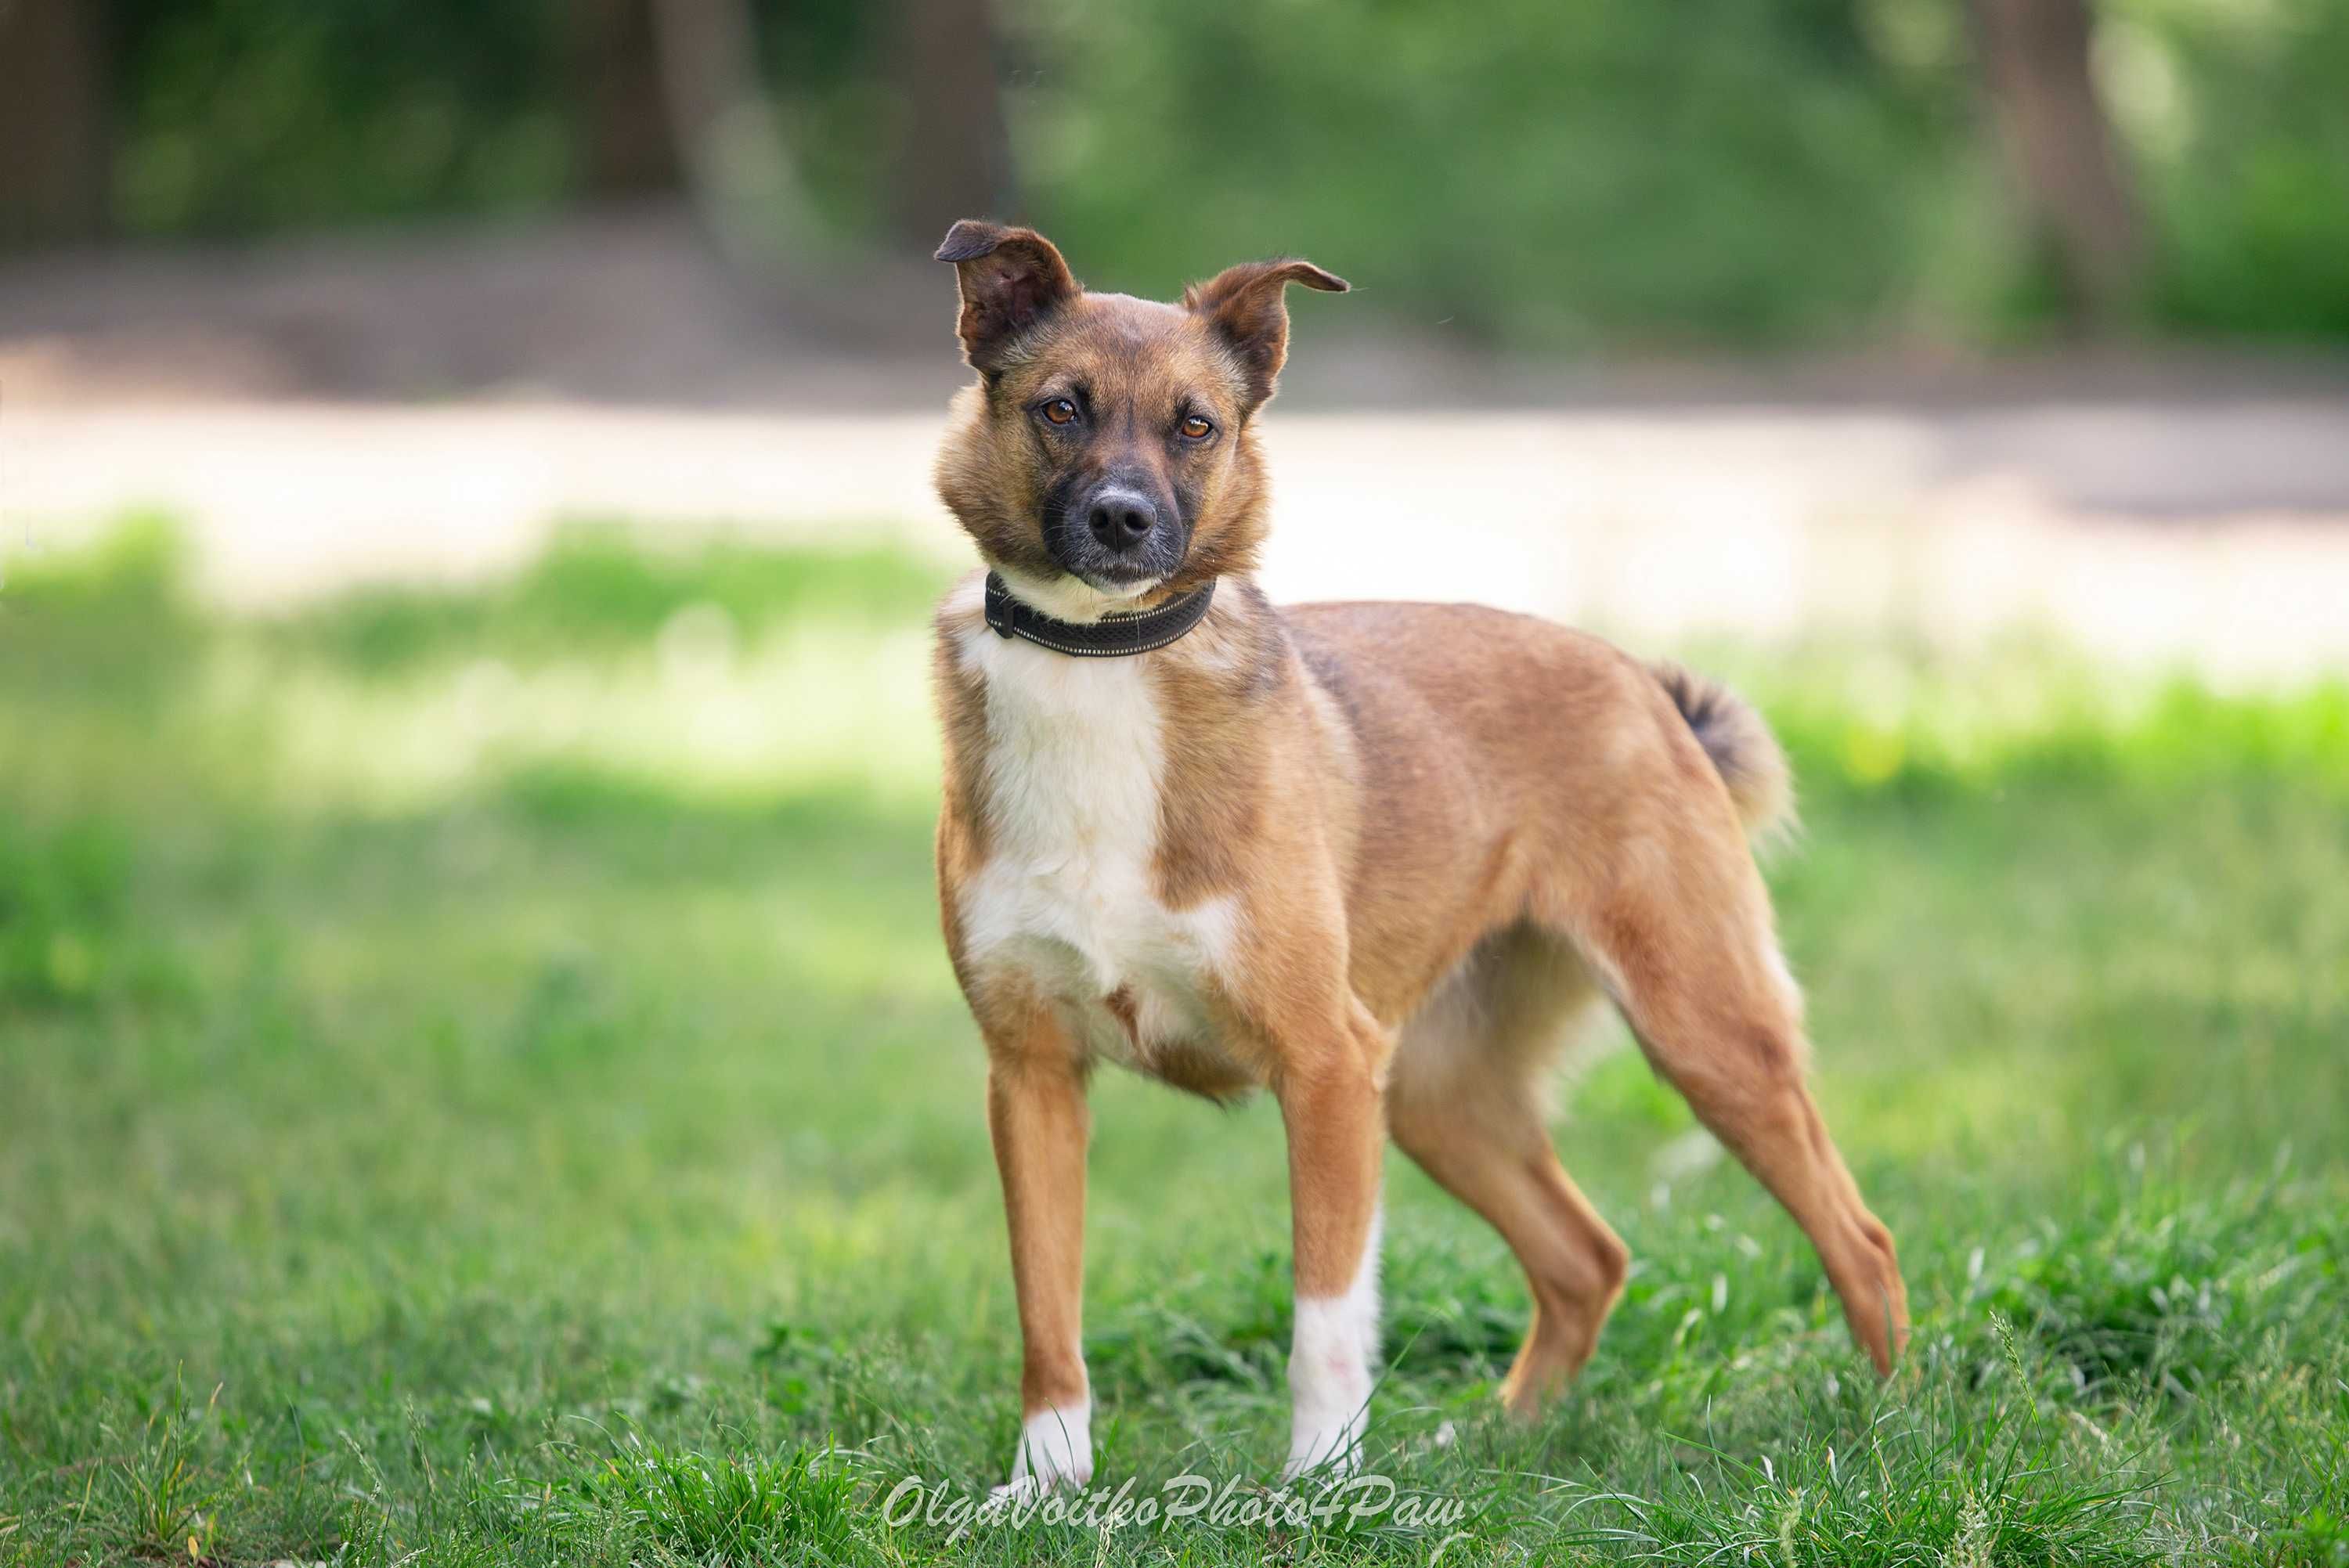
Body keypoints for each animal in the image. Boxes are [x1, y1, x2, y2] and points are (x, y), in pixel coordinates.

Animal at [921, 220, 1907, 1493]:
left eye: (1197, 424)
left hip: (1705, 1035)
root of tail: (1644, 686)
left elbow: (1325, 1319)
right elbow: (1048, 1312)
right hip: (1443, 1094)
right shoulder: (1032, 1079)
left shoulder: (1328, 1068)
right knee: (1587, 1257)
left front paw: (1321, 1489)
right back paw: (1496, 1434)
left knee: (1861, 1238)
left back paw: (1894, 1434)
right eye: (1059, 408)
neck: (1101, 664)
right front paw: (1045, 1488)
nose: (1126, 520)